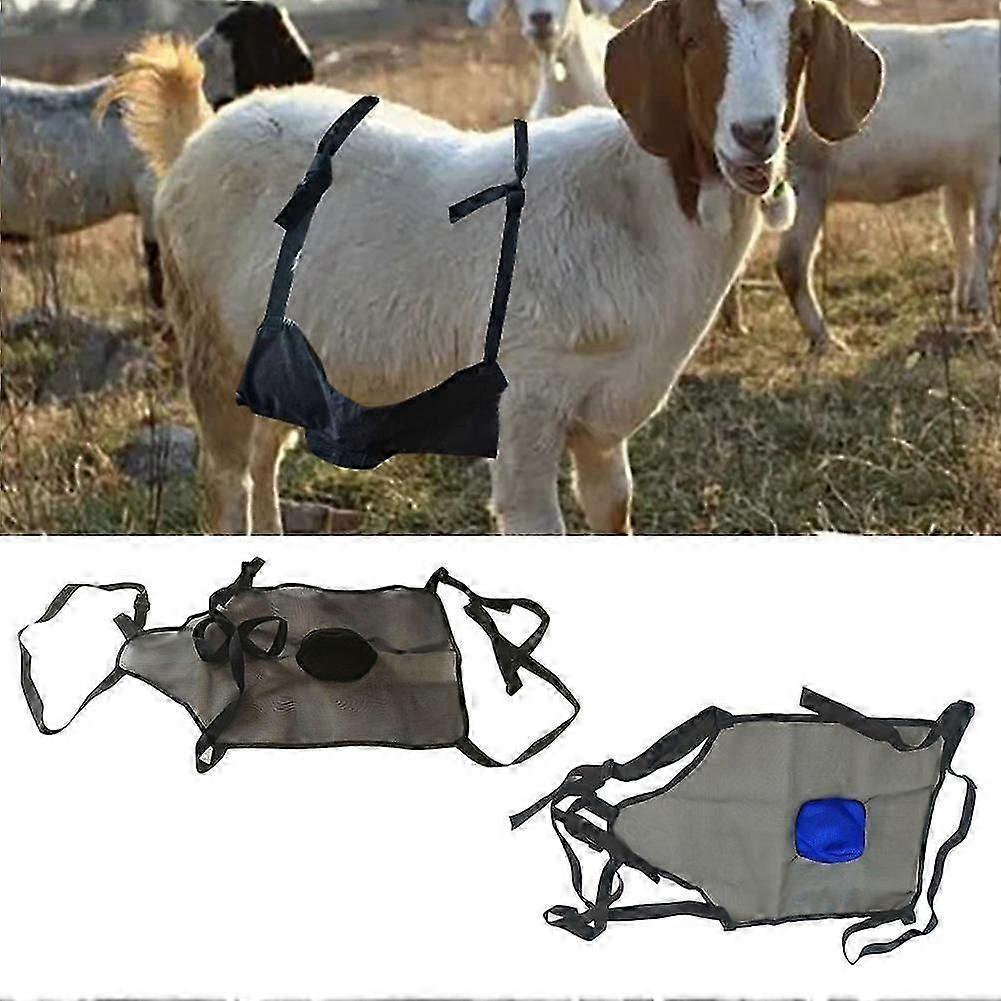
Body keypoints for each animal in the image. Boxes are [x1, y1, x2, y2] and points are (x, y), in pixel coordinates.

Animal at [107, 0, 882, 535]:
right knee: (225, 478)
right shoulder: (526, 403)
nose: (753, 136)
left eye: (800, 38)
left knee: (266, 452)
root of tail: (196, 138)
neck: (644, 204)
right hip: (210, 345)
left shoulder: (607, 419)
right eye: (690, 39)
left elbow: (614, 509)